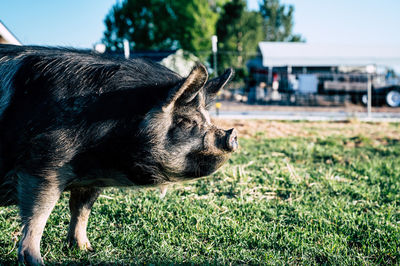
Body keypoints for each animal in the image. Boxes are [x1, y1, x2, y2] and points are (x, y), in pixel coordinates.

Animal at [0, 44, 238, 264]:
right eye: (186, 121)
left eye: (207, 119)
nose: (233, 135)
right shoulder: (41, 166)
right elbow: (37, 215)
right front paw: (36, 261)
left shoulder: (89, 179)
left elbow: (81, 210)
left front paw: (86, 249)